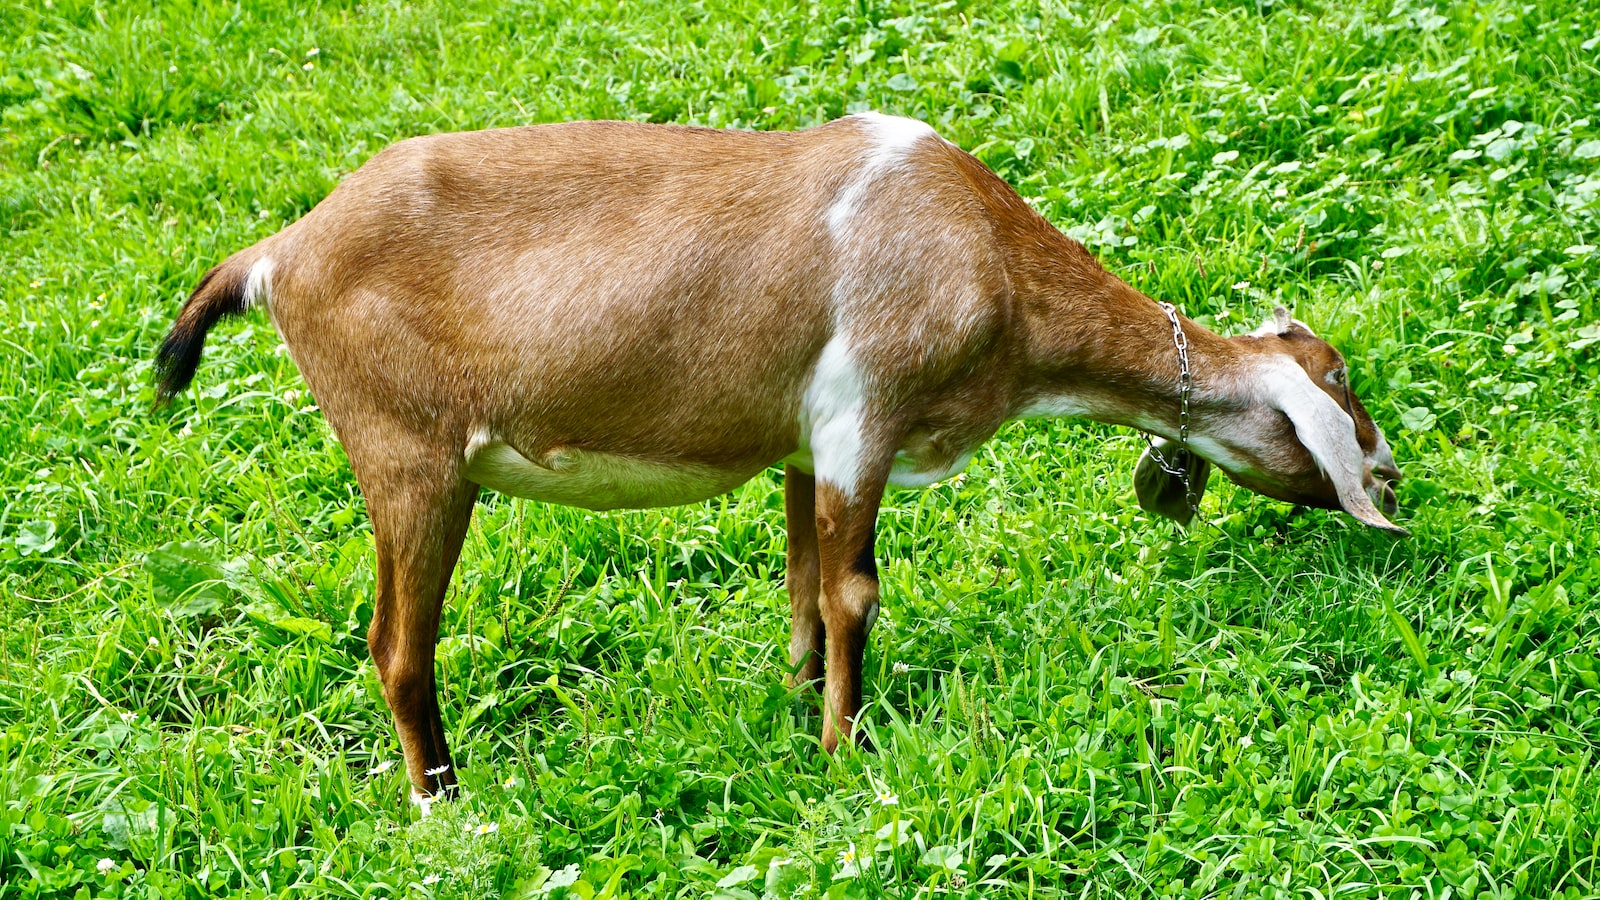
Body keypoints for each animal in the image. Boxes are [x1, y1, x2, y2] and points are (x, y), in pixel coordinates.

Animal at [150, 113, 1401, 797]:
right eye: (1343, 388)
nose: (1390, 481)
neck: (982, 254)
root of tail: (281, 252)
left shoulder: (806, 441)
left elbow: (803, 582)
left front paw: (798, 705)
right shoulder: (863, 417)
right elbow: (855, 592)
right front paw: (845, 748)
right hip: (411, 458)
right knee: (396, 648)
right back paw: (445, 802)